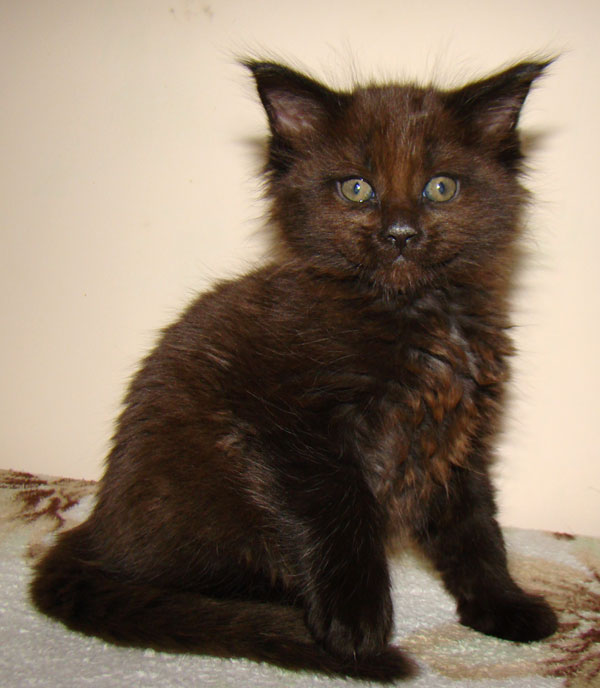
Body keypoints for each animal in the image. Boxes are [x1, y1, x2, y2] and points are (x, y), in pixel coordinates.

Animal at [30, 57, 558, 682]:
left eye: (441, 187)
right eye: (356, 188)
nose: (400, 234)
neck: (414, 313)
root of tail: (92, 531)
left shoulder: (457, 436)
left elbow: (476, 530)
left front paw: (504, 605)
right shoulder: (293, 429)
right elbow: (343, 516)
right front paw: (355, 626)